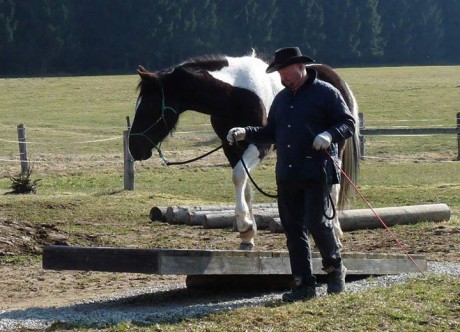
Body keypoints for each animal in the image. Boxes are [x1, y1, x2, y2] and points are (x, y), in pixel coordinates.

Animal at [128, 51, 360, 249]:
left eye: (149, 106)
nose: (134, 148)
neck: (232, 93)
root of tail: (337, 80)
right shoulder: (231, 146)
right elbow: (244, 182)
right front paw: (248, 233)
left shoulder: (260, 144)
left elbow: (239, 175)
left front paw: (244, 225)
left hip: (332, 148)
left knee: (332, 188)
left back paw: (335, 232)